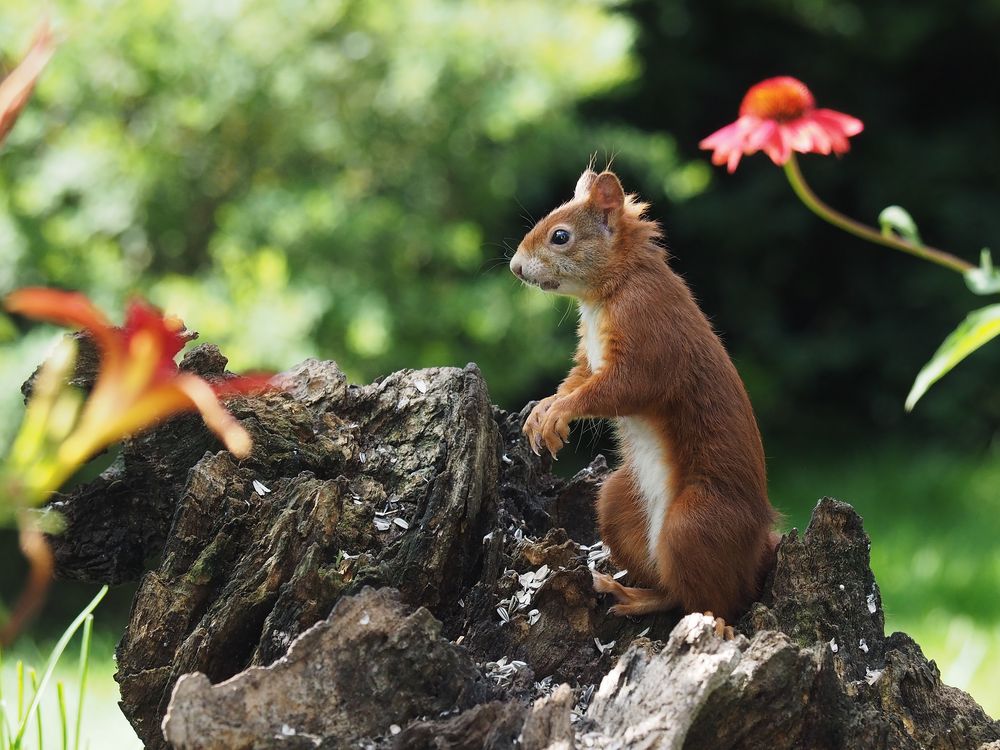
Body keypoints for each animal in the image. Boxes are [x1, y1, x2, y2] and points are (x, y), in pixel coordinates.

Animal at [512, 169, 776, 624]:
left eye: (560, 236)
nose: (514, 266)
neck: (612, 288)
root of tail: (755, 551)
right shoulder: (590, 359)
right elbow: (578, 379)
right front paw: (543, 409)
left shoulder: (649, 333)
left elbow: (624, 387)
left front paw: (558, 412)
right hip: (618, 501)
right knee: (670, 588)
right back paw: (629, 593)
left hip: (694, 523)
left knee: (713, 603)